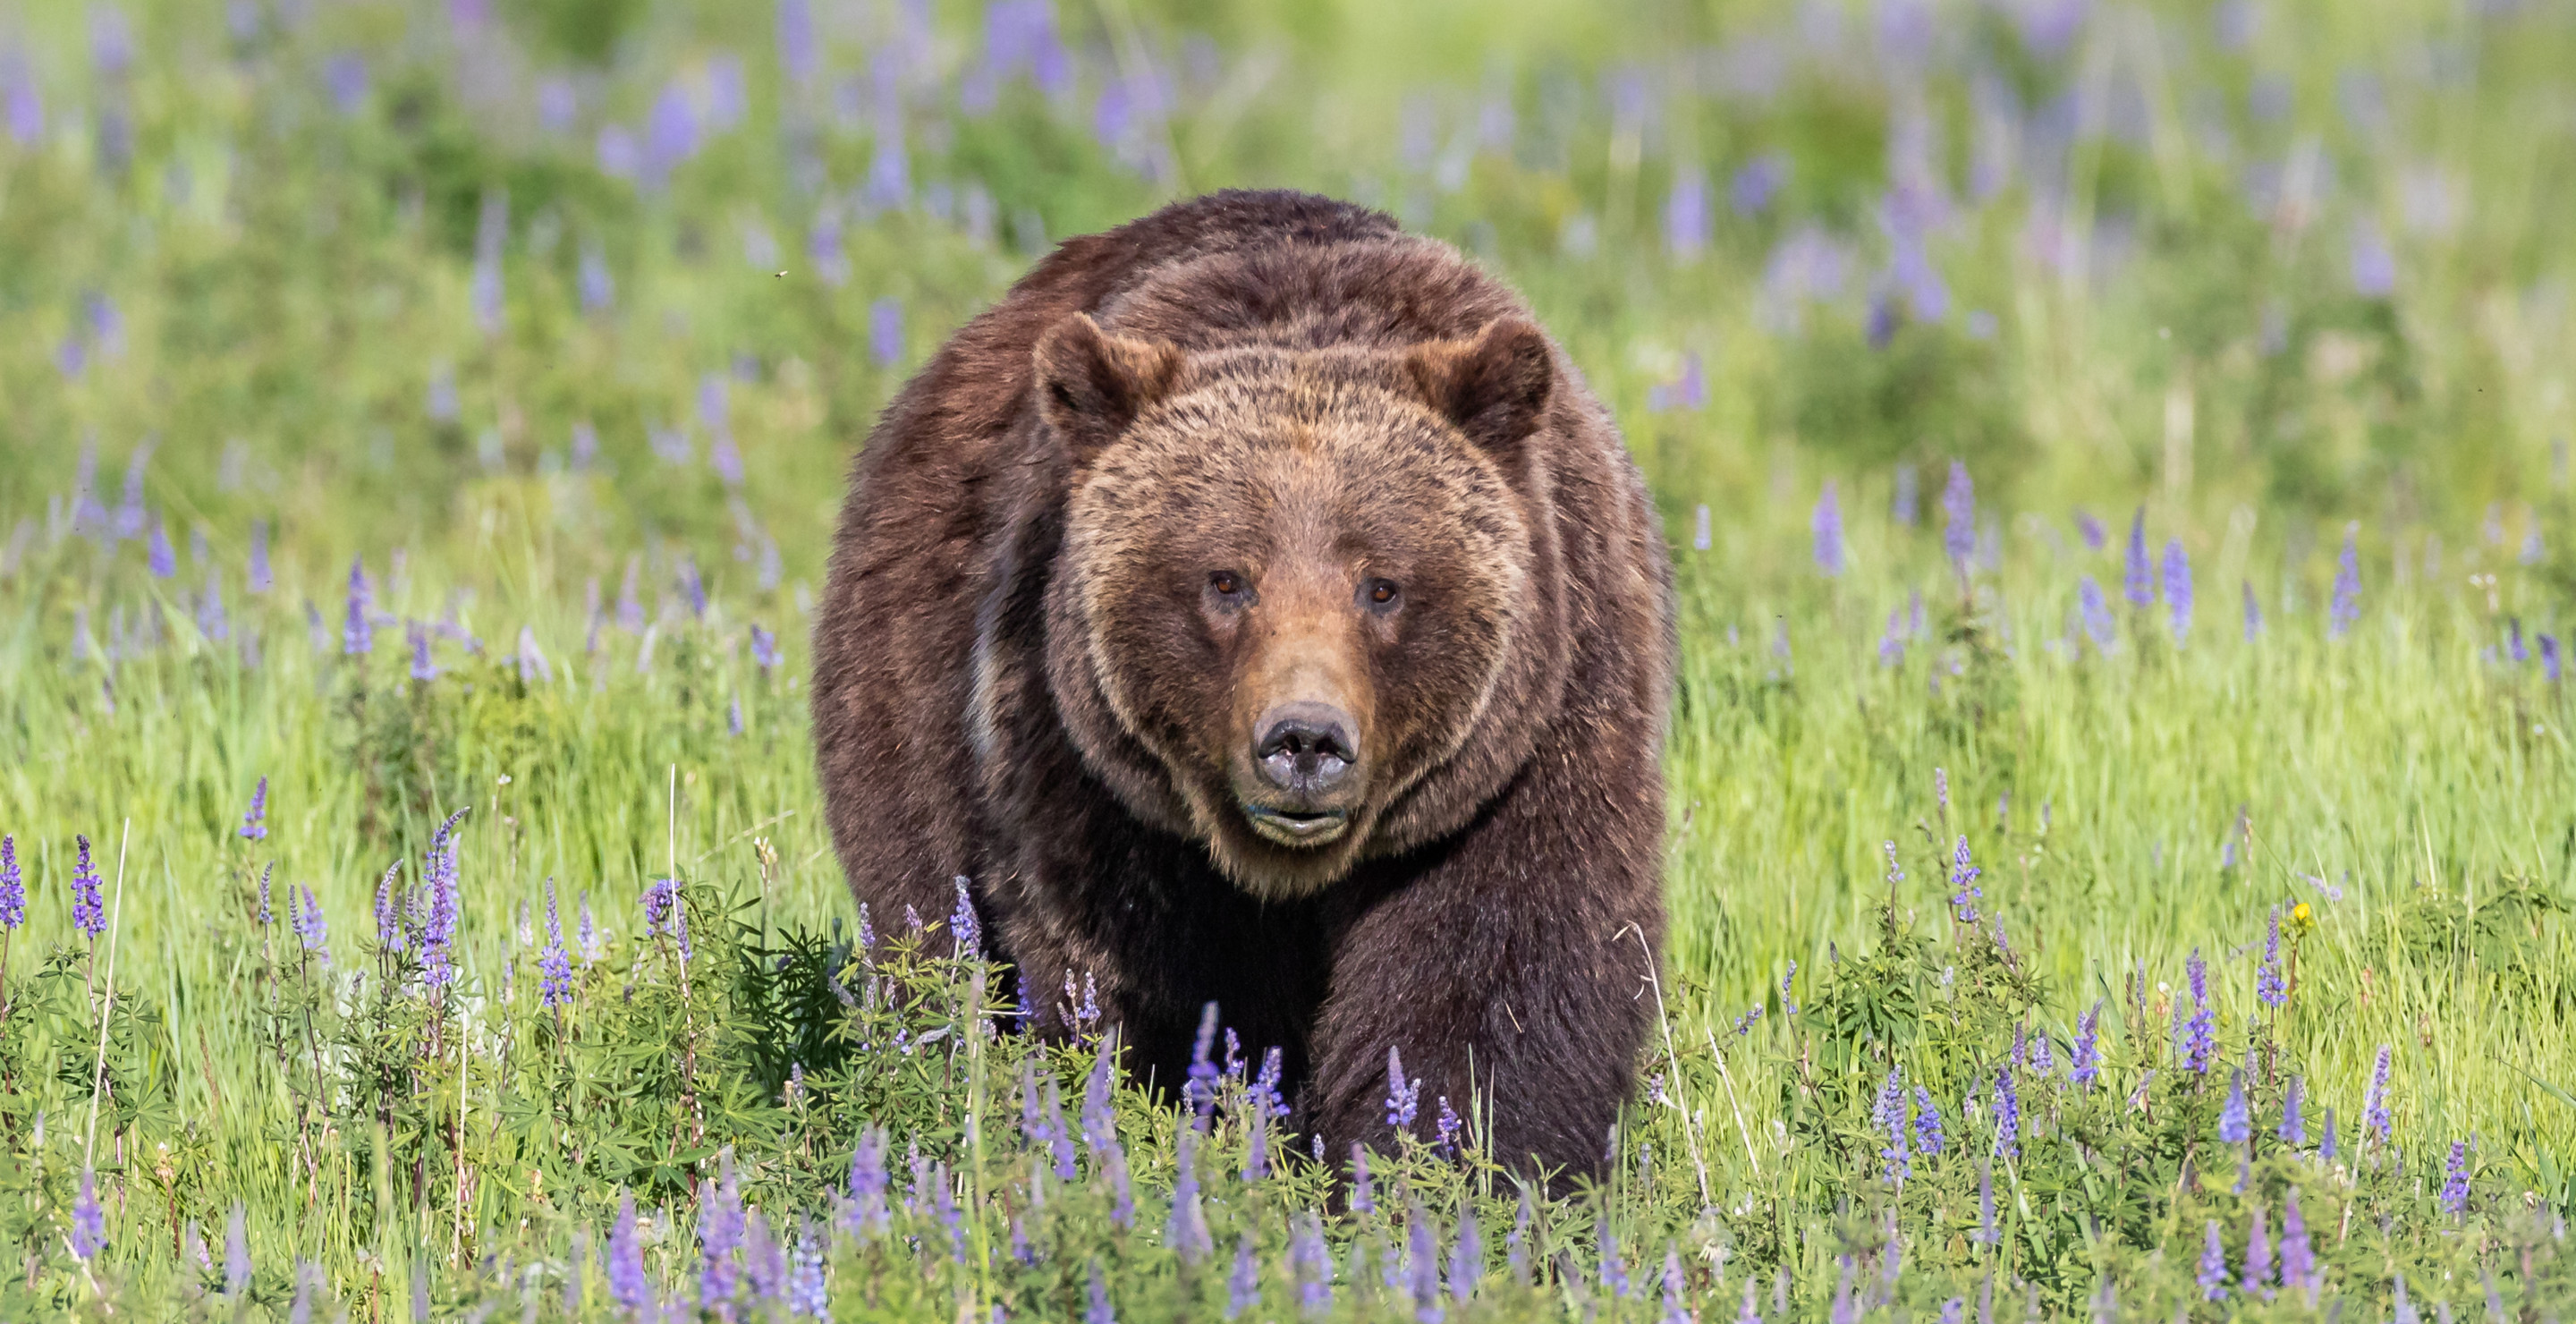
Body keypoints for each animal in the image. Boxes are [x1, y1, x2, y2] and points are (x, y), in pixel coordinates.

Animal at [814, 188, 1679, 1174]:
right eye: (1226, 579)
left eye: (1382, 584)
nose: (1304, 739)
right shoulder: (1092, 776)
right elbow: (1145, 980)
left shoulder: (1525, 749)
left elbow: (1496, 978)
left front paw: (1453, 1163)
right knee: (923, 912)